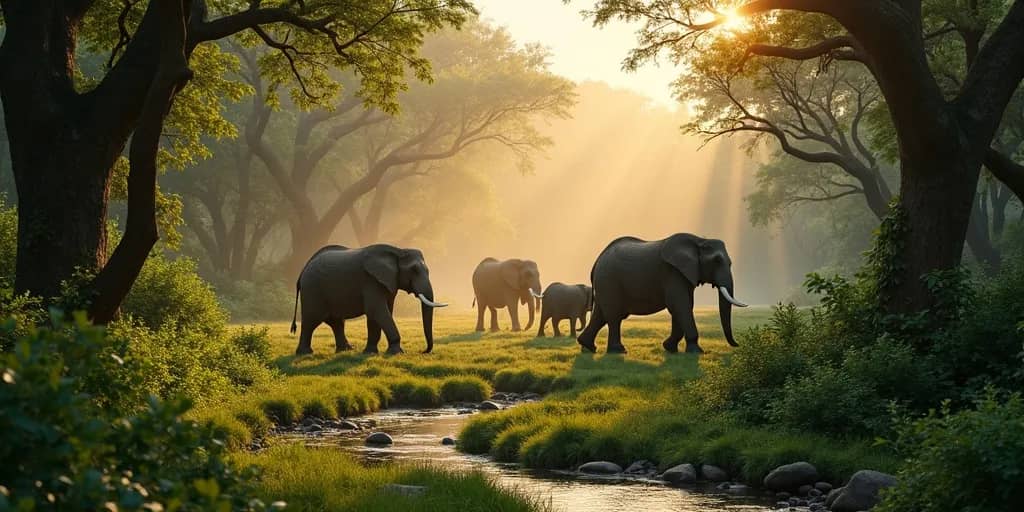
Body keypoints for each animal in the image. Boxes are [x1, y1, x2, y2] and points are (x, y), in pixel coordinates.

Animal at [290, 244, 447, 355]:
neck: (398, 251)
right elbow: (376, 310)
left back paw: (347, 350)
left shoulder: (387, 282)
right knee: (311, 321)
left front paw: (370, 352)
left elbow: (378, 314)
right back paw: (305, 353)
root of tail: (302, 271)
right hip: (312, 291)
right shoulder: (371, 281)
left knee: (336, 322)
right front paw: (396, 353)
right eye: (414, 270)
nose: (423, 351)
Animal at [576, 233, 748, 354]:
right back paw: (618, 351)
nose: (737, 344)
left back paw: (588, 347)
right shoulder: (673, 273)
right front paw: (696, 352)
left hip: (605, 283)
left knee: (601, 315)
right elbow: (680, 305)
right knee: (614, 316)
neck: (699, 240)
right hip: (609, 280)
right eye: (717, 261)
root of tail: (597, 261)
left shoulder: (683, 274)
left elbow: (683, 306)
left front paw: (670, 348)